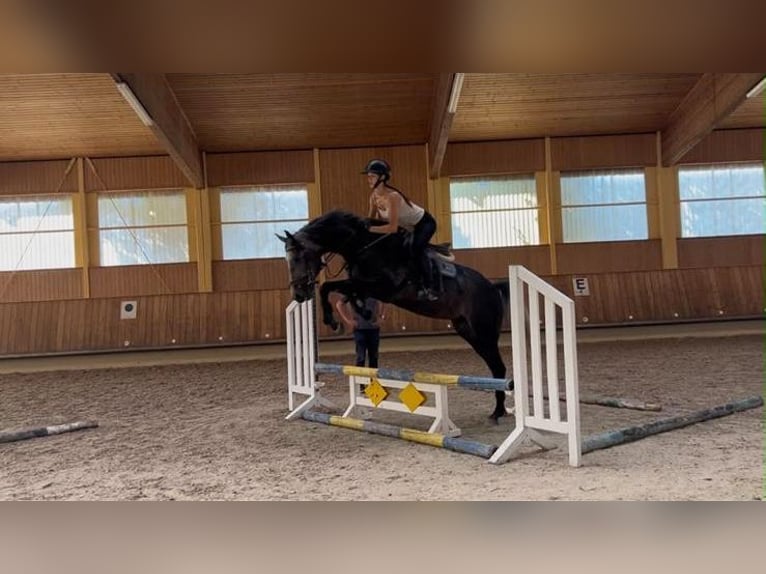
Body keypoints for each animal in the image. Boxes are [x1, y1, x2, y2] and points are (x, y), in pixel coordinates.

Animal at [278, 209, 512, 421]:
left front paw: (332, 320)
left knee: (499, 367)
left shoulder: (383, 288)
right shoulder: (364, 285)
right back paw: (499, 409)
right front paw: (358, 312)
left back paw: (499, 411)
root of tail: (492, 288)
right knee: (494, 366)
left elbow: (328, 287)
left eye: (298, 257)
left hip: (484, 331)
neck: (363, 247)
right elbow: (344, 293)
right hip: (468, 331)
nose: (298, 295)